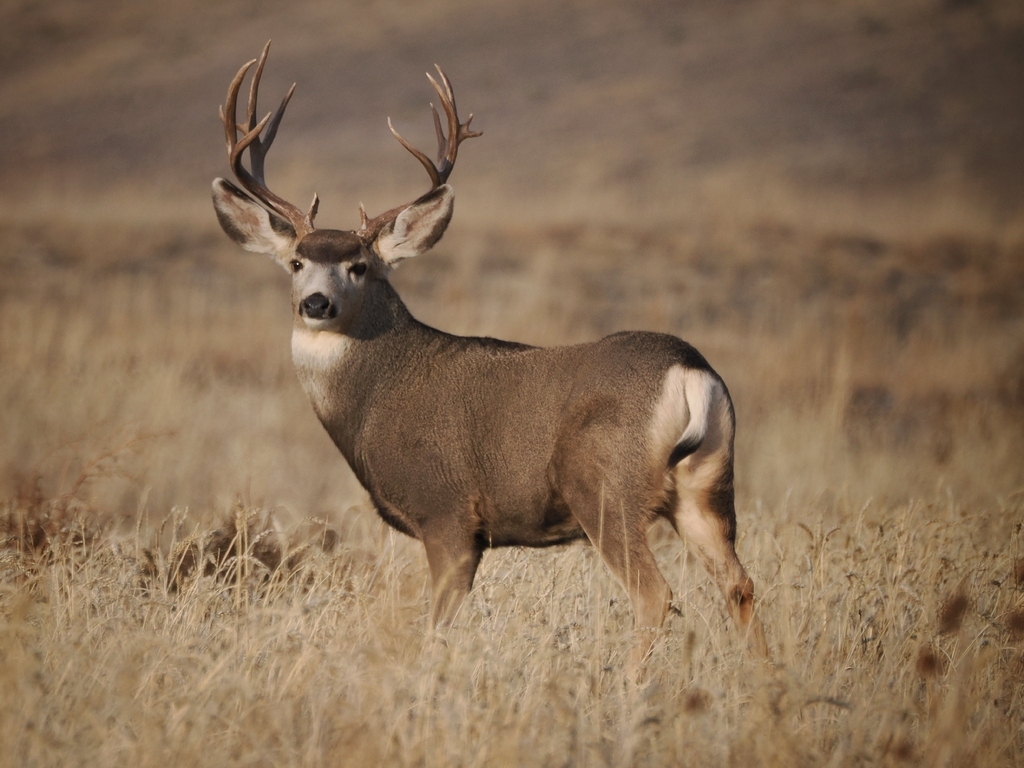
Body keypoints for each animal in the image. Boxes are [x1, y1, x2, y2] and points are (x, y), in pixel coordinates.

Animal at [211, 42, 768, 668]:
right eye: (296, 261)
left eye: (359, 265)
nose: (316, 302)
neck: (376, 395)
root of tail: (691, 371)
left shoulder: (448, 512)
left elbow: (437, 625)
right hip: (707, 488)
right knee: (740, 585)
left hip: (606, 487)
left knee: (656, 594)